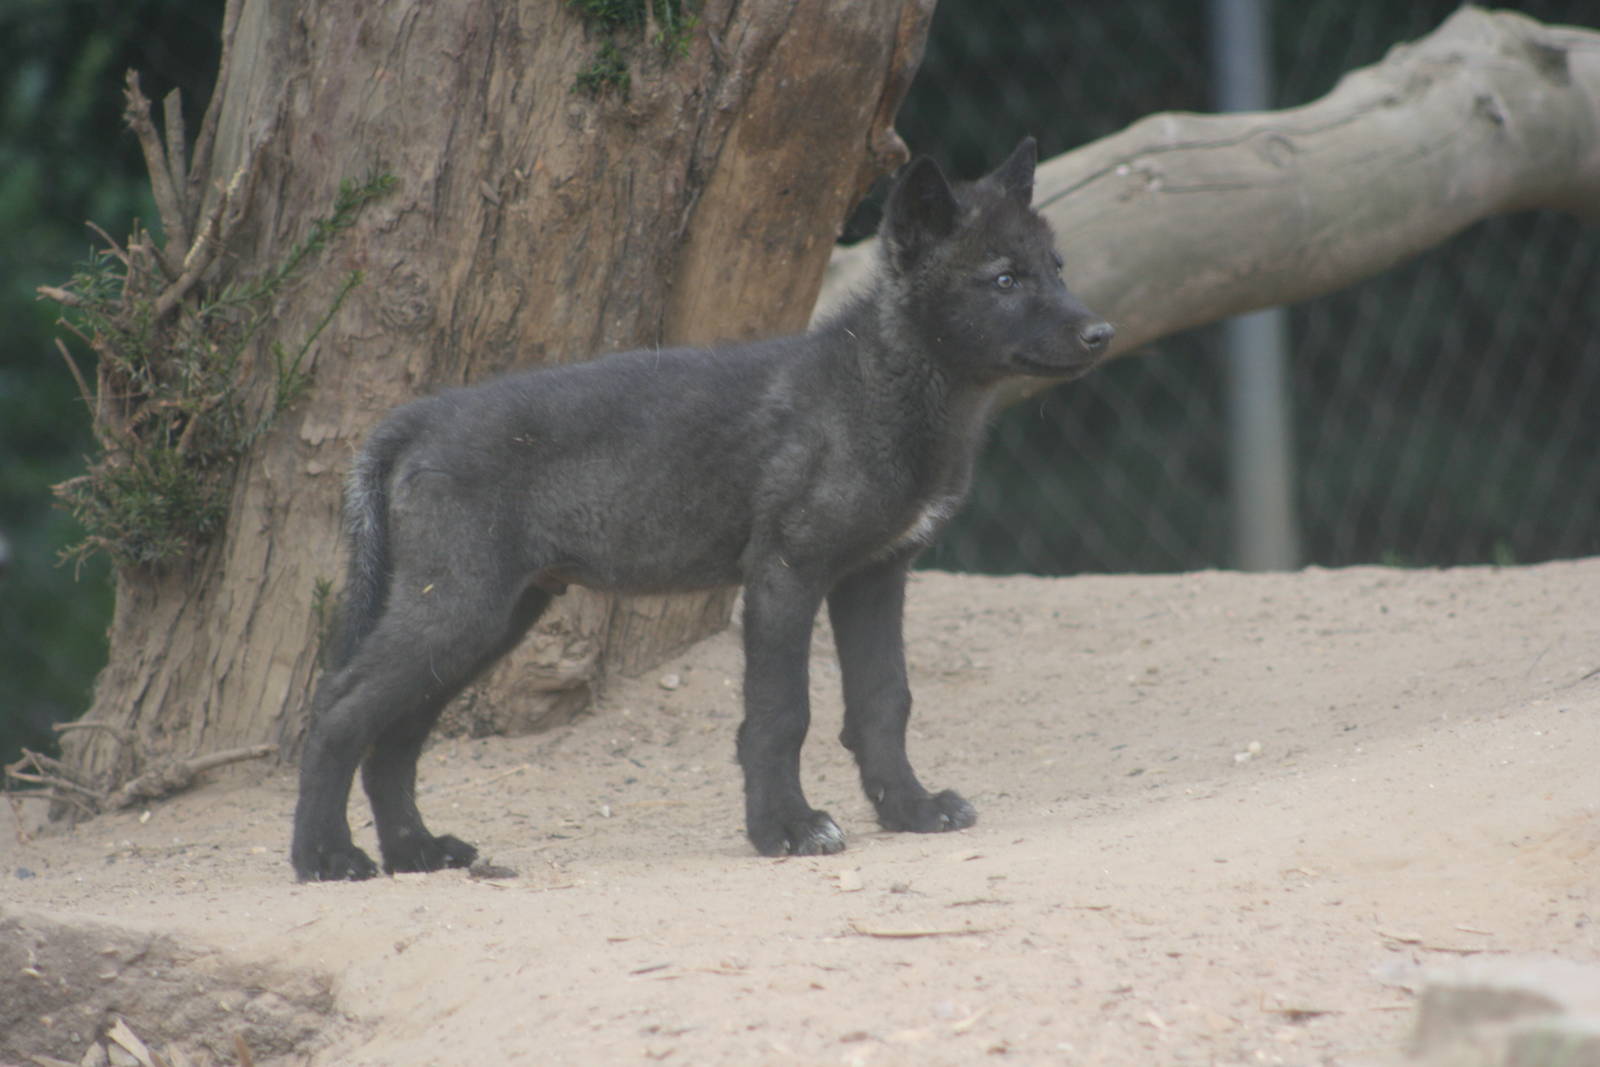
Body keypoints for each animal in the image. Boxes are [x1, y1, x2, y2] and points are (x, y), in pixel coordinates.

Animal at [290, 138, 1113, 881]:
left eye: (1058, 269)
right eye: (1002, 279)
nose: (1100, 332)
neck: (883, 389)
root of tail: (417, 416)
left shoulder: (874, 577)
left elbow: (885, 703)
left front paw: (910, 811)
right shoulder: (786, 573)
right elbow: (782, 716)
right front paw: (786, 829)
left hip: (489, 625)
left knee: (394, 737)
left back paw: (417, 852)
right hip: (458, 611)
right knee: (335, 709)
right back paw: (325, 857)